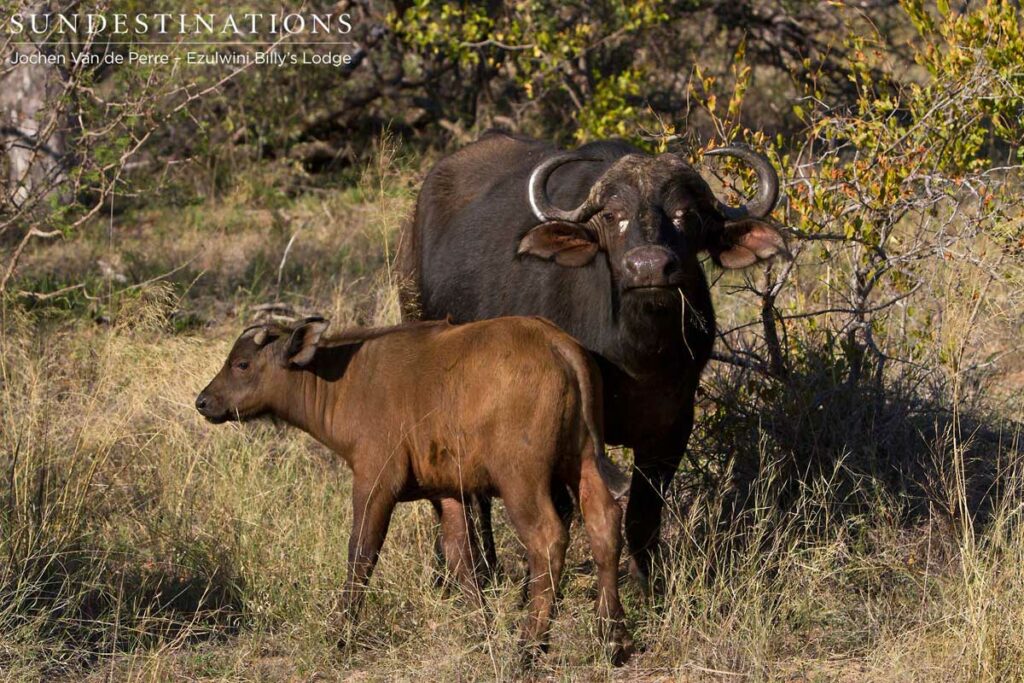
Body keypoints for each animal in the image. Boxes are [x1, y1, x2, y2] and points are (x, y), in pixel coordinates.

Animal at [195, 315, 635, 665]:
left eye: (242, 364)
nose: (203, 402)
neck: (347, 380)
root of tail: (560, 347)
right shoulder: (448, 494)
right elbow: (462, 561)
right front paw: (482, 630)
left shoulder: (375, 482)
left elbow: (362, 552)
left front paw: (340, 634)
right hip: (582, 461)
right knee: (605, 525)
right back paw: (613, 637)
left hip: (521, 478)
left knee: (548, 538)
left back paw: (530, 647)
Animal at [398, 130, 787, 592]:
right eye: (614, 215)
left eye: (685, 213)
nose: (649, 267)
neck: (635, 356)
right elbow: (561, 512)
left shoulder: (671, 427)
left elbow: (642, 515)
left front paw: (646, 587)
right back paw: (469, 570)